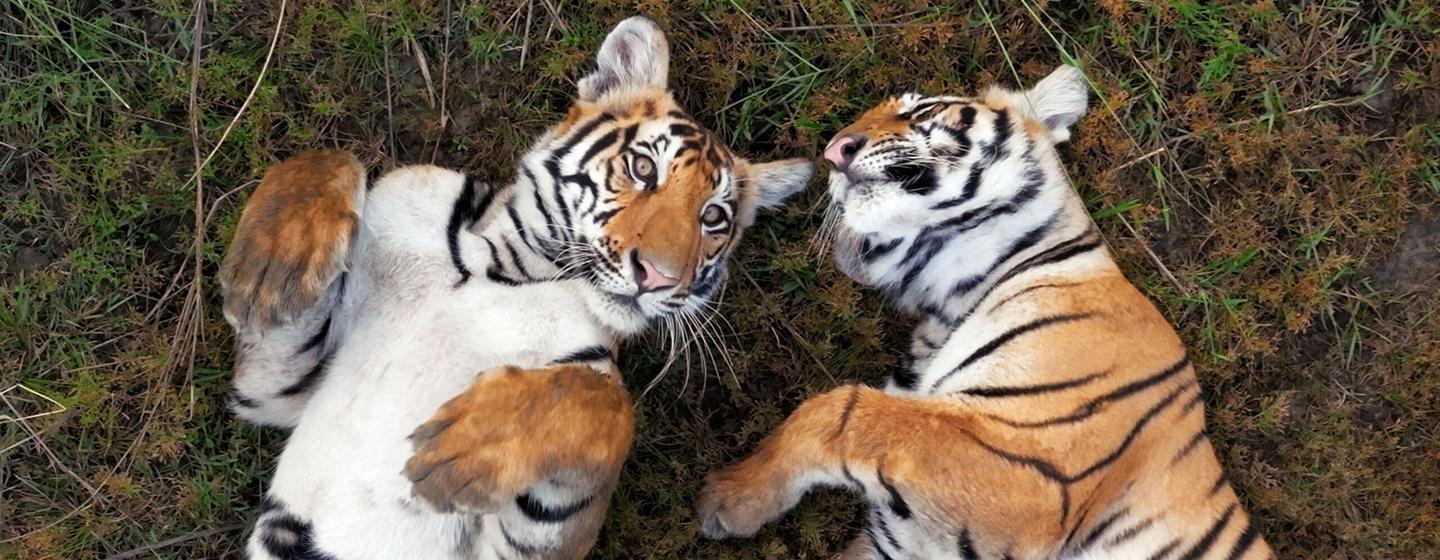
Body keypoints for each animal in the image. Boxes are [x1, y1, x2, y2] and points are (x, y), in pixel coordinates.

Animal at [219, 17, 811, 560]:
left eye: (713, 218)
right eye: (644, 168)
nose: (659, 277)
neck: (509, 271)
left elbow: (603, 402)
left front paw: (466, 447)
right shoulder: (277, 395)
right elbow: (334, 157)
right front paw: (269, 272)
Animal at [695, 65, 1273, 560]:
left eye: (922, 108)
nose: (833, 152)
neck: (948, 295)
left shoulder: (1035, 473)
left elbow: (844, 411)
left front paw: (731, 497)